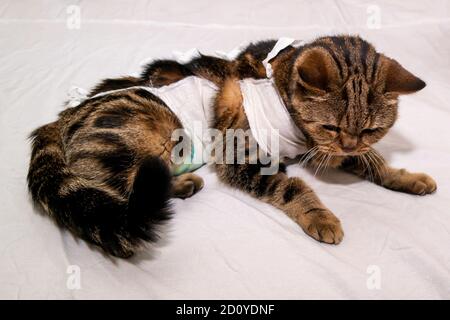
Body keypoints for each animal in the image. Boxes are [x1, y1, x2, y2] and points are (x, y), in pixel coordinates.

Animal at [27, 36, 436, 258]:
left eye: (371, 130)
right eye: (330, 126)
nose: (349, 144)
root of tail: (61, 118)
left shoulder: (326, 151)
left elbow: (374, 164)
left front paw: (409, 178)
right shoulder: (245, 157)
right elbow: (294, 186)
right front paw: (320, 216)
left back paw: (182, 184)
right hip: (145, 136)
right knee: (120, 209)